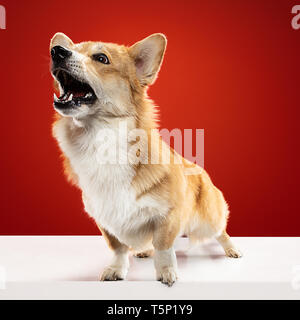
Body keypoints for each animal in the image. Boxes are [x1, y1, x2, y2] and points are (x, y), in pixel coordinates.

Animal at [49, 32, 241, 286]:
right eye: (69, 49)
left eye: (101, 58)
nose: (57, 51)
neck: (101, 139)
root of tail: (200, 169)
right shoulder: (105, 218)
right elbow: (118, 248)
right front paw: (116, 269)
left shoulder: (167, 216)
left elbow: (164, 247)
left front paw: (167, 272)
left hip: (208, 219)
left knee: (220, 231)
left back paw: (232, 249)